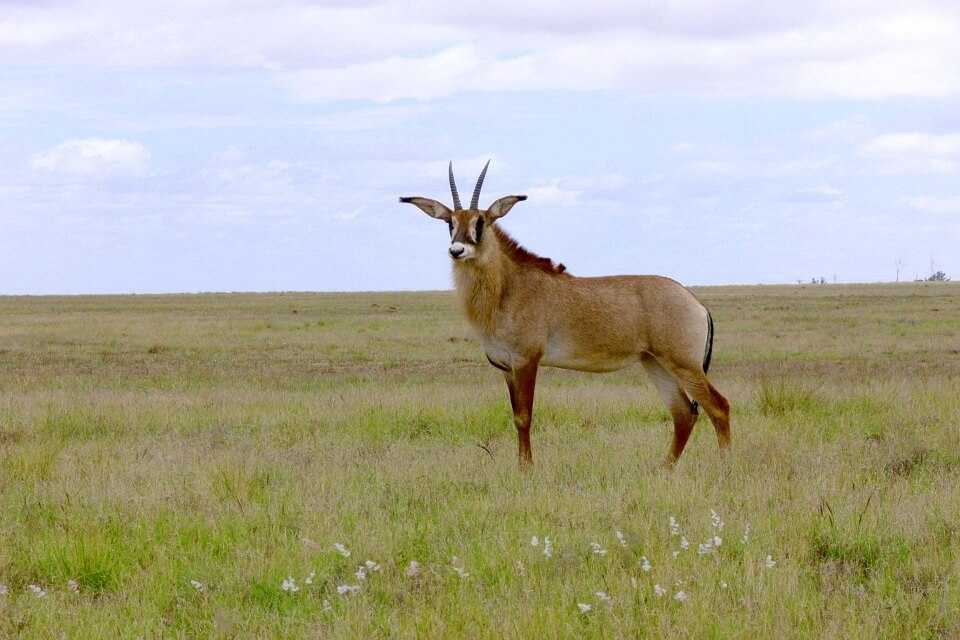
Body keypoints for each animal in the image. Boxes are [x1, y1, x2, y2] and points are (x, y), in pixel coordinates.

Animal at [402, 162, 732, 468]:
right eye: (449, 222)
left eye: (481, 222)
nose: (457, 250)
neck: (509, 287)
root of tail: (697, 304)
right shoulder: (507, 368)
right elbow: (515, 416)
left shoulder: (527, 362)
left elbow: (524, 417)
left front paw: (527, 471)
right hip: (656, 364)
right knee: (683, 414)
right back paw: (663, 470)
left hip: (684, 364)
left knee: (719, 407)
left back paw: (724, 469)